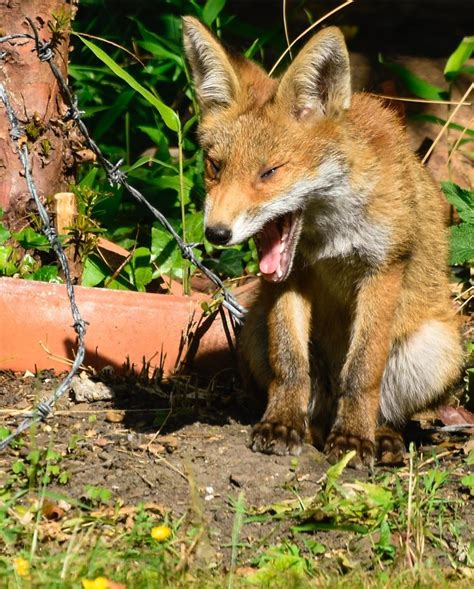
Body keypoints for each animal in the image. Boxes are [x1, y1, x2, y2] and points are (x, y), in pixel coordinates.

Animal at [181, 17, 462, 468]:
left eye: (270, 172)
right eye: (215, 167)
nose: (216, 233)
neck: (331, 234)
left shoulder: (383, 268)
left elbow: (362, 372)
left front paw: (353, 439)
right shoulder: (290, 276)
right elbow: (290, 364)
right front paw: (281, 424)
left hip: (437, 348)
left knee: (388, 408)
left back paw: (379, 435)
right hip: (253, 332)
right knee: (311, 398)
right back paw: (313, 427)